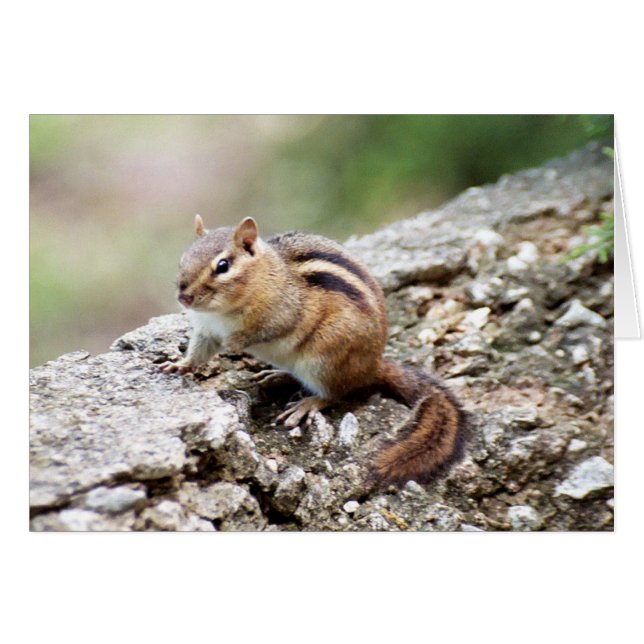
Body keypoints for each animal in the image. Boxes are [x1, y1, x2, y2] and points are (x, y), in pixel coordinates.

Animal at [160, 215, 467, 485]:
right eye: (183, 260)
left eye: (222, 265)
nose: (183, 297)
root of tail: (372, 366)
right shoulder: (206, 330)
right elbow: (199, 352)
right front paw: (179, 365)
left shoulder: (283, 312)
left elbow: (266, 331)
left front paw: (235, 342)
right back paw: (277, 377)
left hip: (324, 359)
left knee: (336, 394)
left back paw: (307, 404)